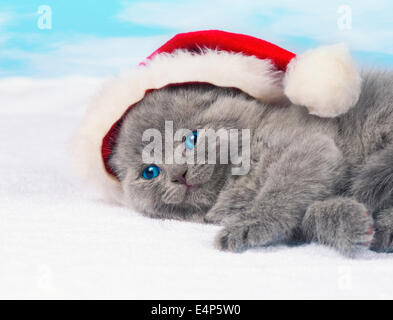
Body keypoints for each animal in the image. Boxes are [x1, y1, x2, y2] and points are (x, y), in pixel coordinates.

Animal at [108, 71, 392, 256]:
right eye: (150, 172)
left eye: (191, 138)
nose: (179, 173)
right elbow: (308, 217)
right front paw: (354, 223)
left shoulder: (311, 146)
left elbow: (283, 191)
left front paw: (250, 225)